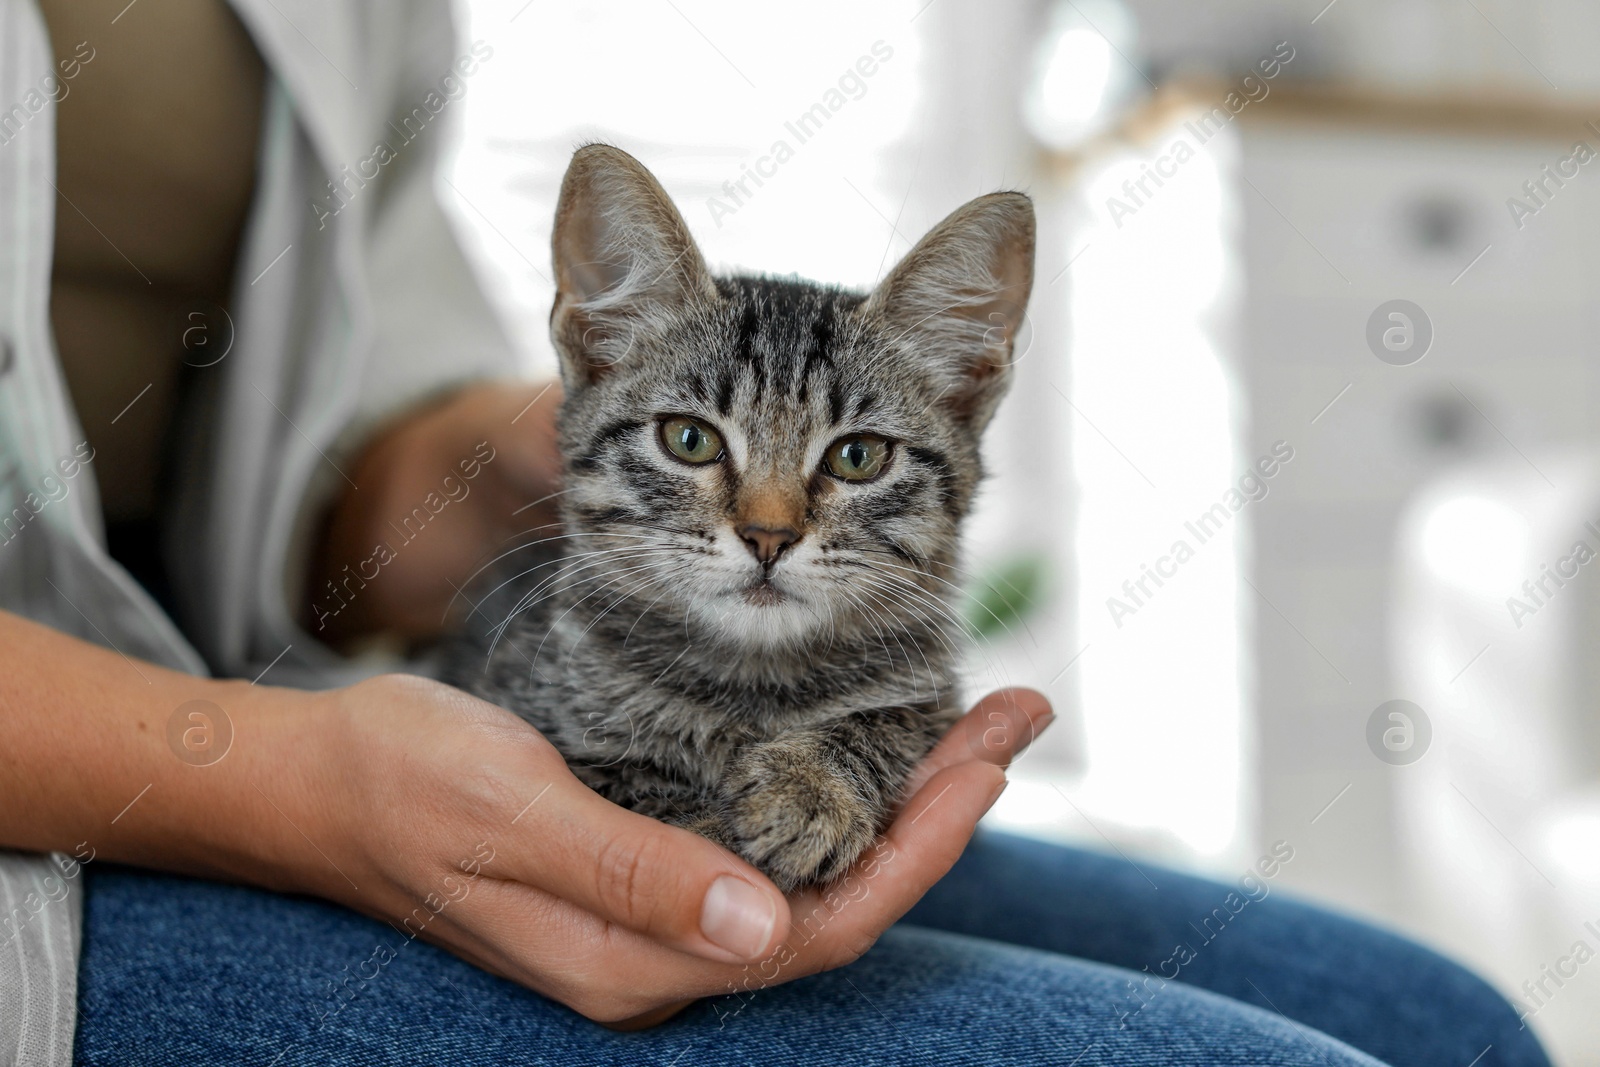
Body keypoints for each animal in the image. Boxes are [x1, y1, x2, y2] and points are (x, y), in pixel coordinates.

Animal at [448, 143, 1036, 895]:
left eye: (857, 456)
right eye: (689, 439)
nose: (769, 536)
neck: (751, 682)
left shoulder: (929, 689)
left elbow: (894, 717)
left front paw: (812, 785)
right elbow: (618, 780)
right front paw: (711, 819)